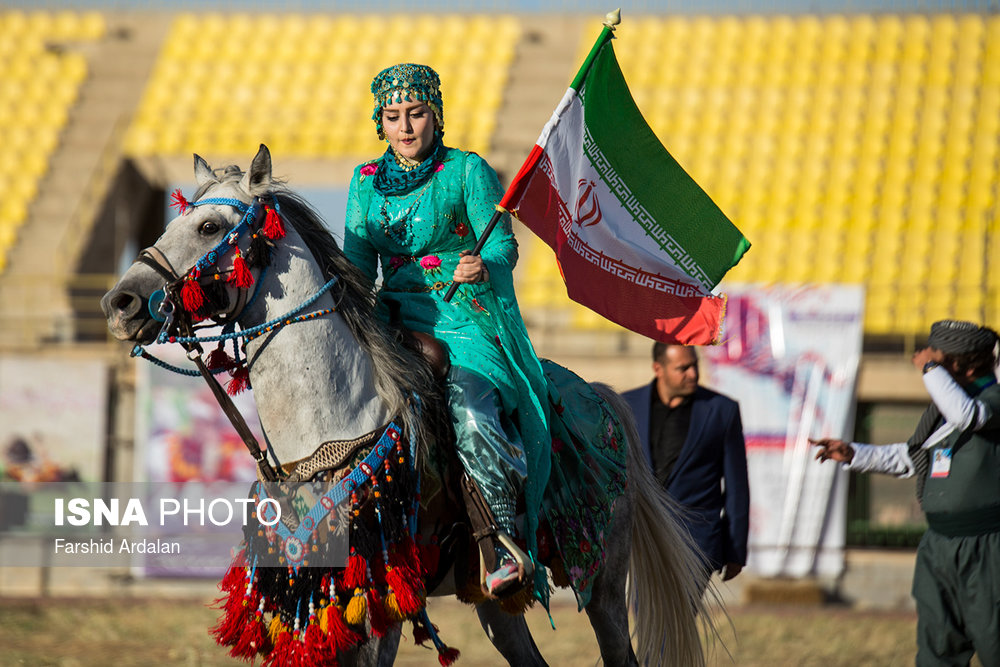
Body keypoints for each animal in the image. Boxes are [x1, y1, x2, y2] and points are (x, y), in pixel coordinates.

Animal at [101, 147, 712, 667]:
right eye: (168, 224)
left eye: (208, 227)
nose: (120, 302)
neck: (329, 429)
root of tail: (600, 395)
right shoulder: (318, 601)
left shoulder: (379, 603)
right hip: (495, 600)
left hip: (603, 576)